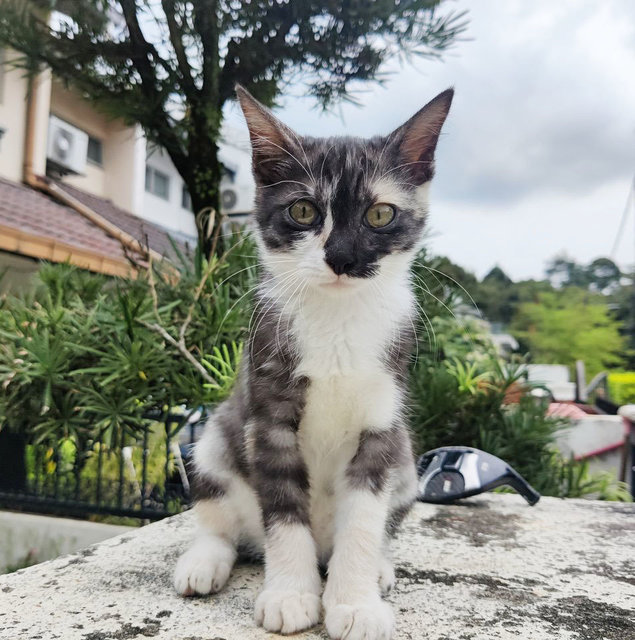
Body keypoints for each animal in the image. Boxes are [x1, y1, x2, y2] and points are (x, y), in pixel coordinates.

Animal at [174, 86, 452, 640]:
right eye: (303, 211)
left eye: (380, 215)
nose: (342, 257)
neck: (337, 317)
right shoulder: (268, 414)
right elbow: (283, 509)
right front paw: (290, 595)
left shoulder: (382, 421)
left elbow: (364, 517)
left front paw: (355, 603)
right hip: (217, 438)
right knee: (223, 519)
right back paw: (205, 561)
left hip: (407, 459)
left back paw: (377, 568)